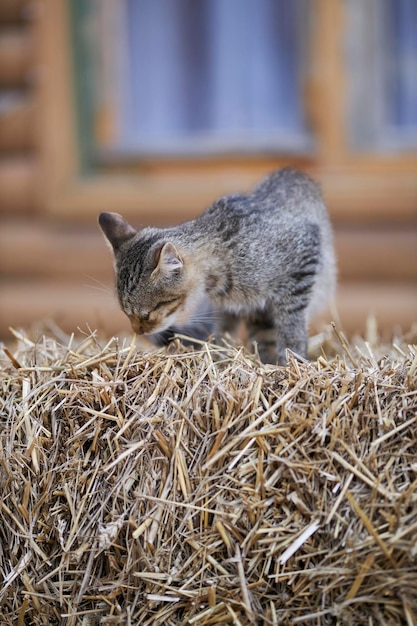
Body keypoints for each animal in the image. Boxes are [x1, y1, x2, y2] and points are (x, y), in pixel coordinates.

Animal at [99, 167, 336, 366]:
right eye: (126, 314)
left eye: (146, 315)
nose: (137, 331)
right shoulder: (255, 309)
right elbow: (262, 336)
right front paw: (268, 364)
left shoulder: (303, 258)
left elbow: (291, 323)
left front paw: (292, 360)